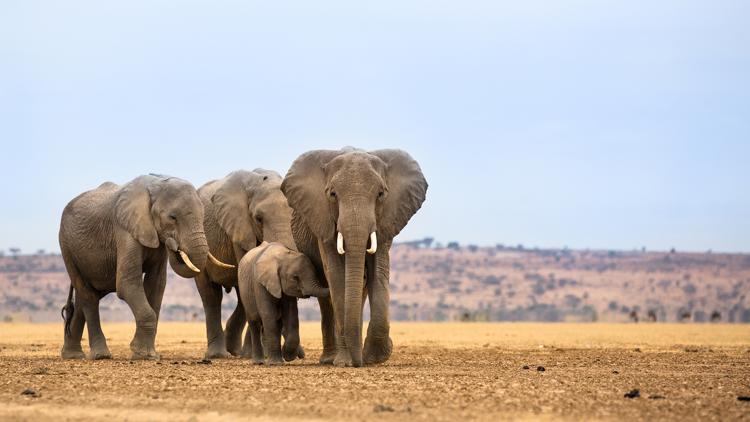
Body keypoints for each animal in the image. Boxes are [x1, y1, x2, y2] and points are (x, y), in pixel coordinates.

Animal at [59, 175, 219, 360]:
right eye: (172, 217)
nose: (173, 244)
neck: (156, 185)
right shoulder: (125, 229)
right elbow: (127, 283)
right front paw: (143, 354)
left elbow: (156, 285)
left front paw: (149, 354)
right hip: (66, 246)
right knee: (88, 296)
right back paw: (100, 356)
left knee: (81, 300)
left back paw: (72, 355)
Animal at [198, 170, 306, 358]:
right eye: (258, 218)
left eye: (294, 214)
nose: (301, 355)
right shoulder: (239, 227)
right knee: (211, 296)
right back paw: (220, 354)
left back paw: (235, 351)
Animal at [280, 148, 426, 366]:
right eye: (332, 194)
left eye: (381, 194)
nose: (359, 362)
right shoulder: (323, 221)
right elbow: (337, 275)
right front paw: (347, 362)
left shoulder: (385, 220)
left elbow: (378, 272)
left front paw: (375, 357)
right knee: (327, 298)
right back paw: (331, 359)